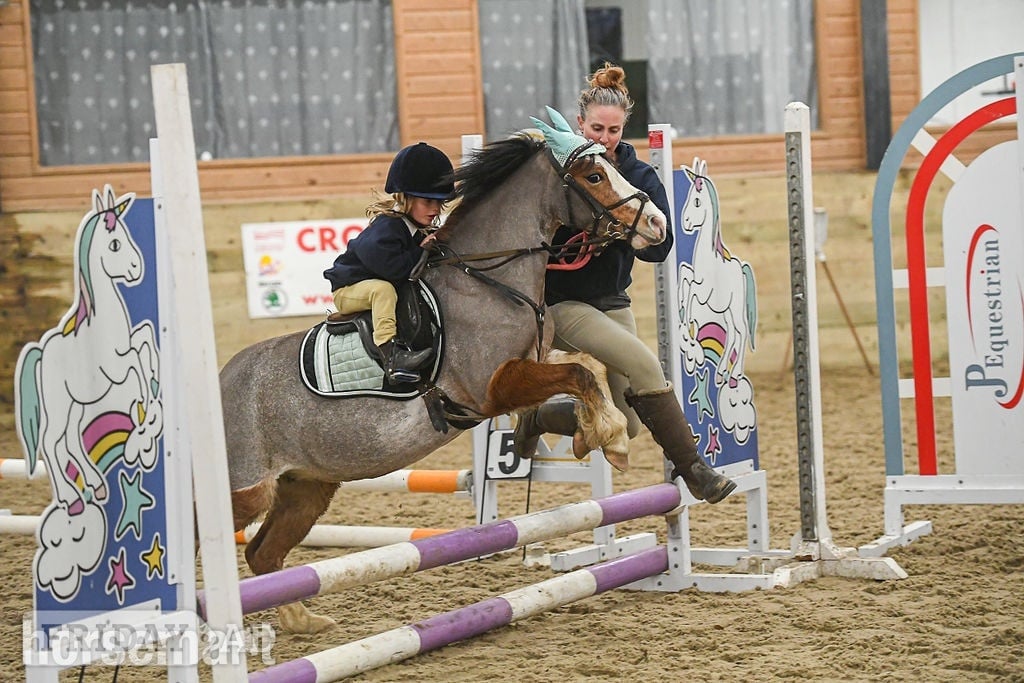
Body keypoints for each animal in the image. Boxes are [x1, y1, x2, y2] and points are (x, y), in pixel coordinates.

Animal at [15, 187, 163, 516]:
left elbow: (145, 339)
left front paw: (154, 380)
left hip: (77, 407)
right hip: (59, 408)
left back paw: (96, 485)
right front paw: (145, 400)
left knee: (70, 441)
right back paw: (71, 499)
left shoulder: (131, 342)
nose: (136, 269)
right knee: (50, 443)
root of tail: (41, 354)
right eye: (115, 243)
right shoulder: (117, 368)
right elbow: (136, 357)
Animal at [221, 131, 668, 633]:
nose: (658, 223)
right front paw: (613, 438)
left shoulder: (531, 366)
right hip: (246, 490)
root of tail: (219, 382)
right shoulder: (494, 387)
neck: (491, 281)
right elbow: (580, 374)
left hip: (307, 487)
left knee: (264, 553)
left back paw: (304, 621)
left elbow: (576, 376)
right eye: (593, 176)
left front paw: (584, 434)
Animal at [677, 158, 757, 390]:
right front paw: (682, 309)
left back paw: (734, 376)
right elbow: (684, 275)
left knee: (742, 332)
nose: (685, 222)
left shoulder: (703, 291)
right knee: (732, 335)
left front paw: (688, 326)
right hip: (727, 312)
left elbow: (690, 289)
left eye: (696, 201)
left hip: (736, 310)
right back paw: (721, 374)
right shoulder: (694, 278)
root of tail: (742, 271)